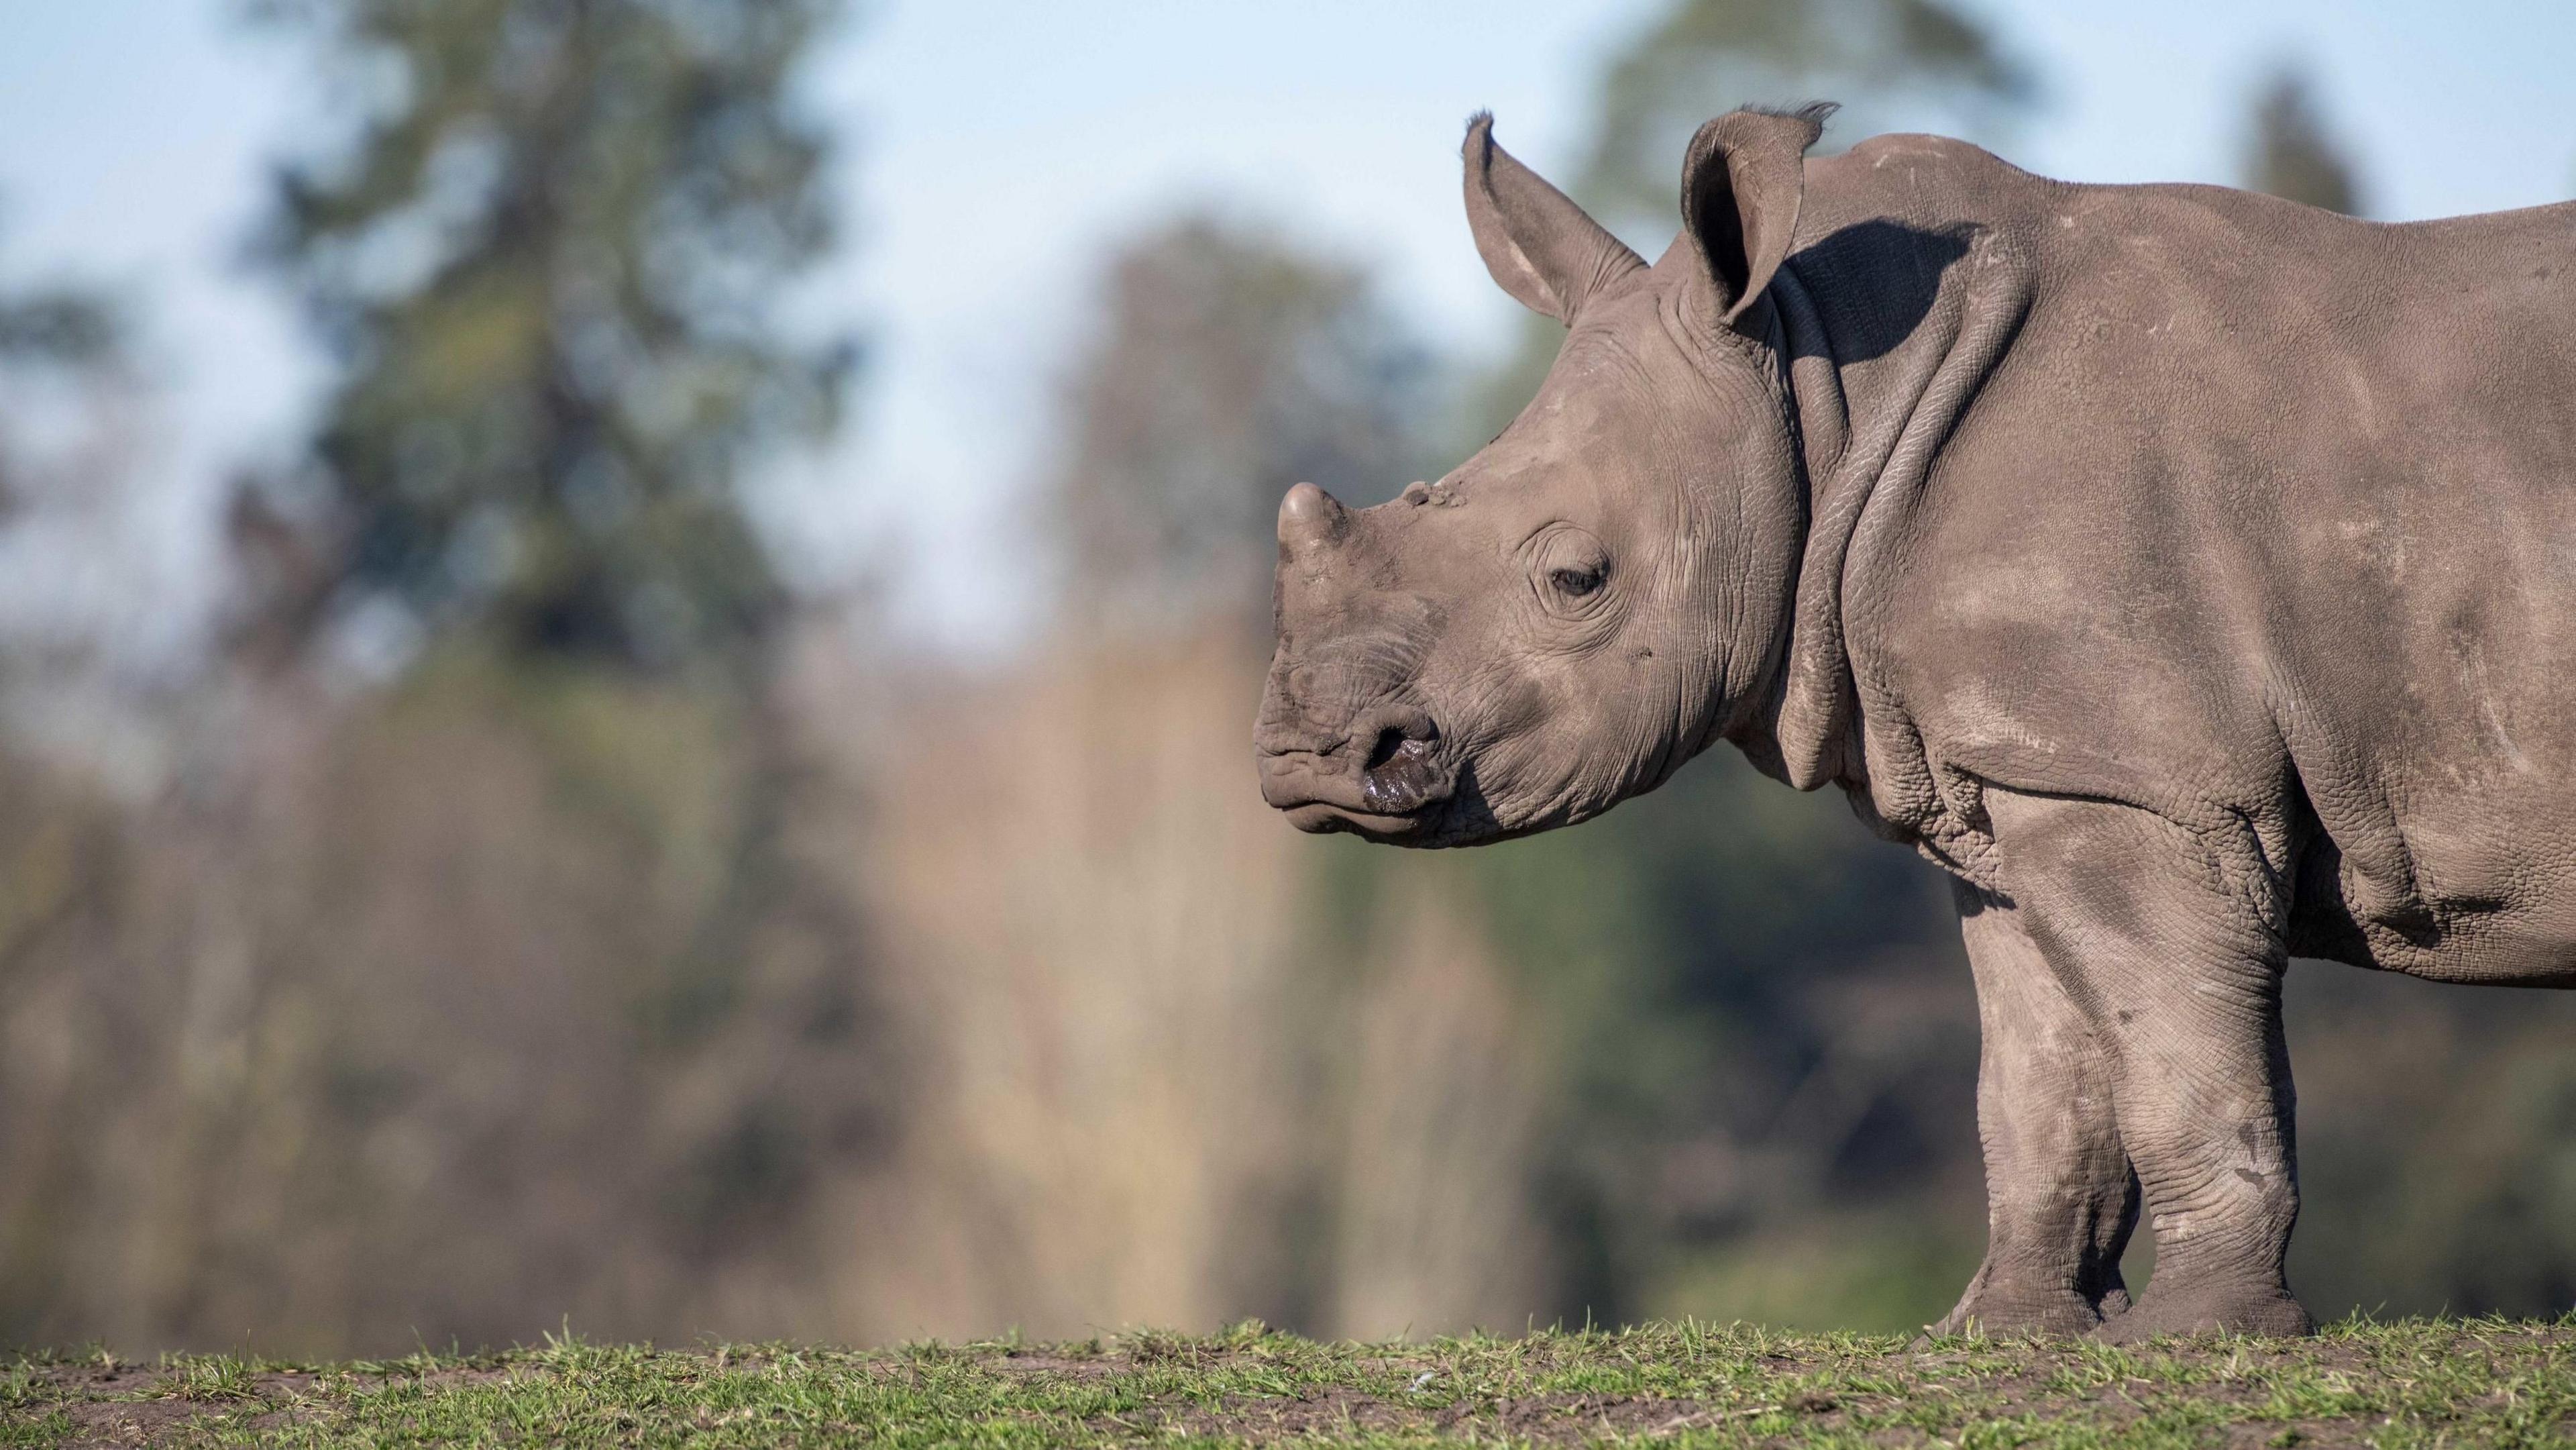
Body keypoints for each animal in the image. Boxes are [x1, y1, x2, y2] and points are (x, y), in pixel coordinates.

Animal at [1252, 107, 2576, 1349]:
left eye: (1578, 579)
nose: (1309, 762)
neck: (1821, 395)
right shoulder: (2027, 771)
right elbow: (2045, 1077)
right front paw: (2007, 1334)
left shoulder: (2137, 782)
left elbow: (2180, 1053)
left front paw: (2200, 1336)